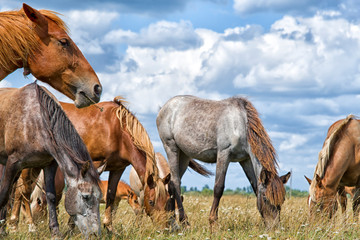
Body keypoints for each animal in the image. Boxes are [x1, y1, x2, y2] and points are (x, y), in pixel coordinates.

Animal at [0, 83, 102, 237]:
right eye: (86, 197)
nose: (96, 234)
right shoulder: (12, 163)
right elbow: (5, 195)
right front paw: (1, 230)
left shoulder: (49, 165)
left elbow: (51, 197)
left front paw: (55, 233)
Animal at [156, 95, 292, 229]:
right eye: (265, 199)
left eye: (283, 199)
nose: (274, 228)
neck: (240, 124)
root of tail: (163, 107)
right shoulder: (223, 154)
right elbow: (219, 188)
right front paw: (213, 222)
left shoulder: (245, 160)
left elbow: (255, 187)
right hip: (171, 147)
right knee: (176, 183)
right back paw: (184, 222)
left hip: (184, 155)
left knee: (171, 184)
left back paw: (173, 221)